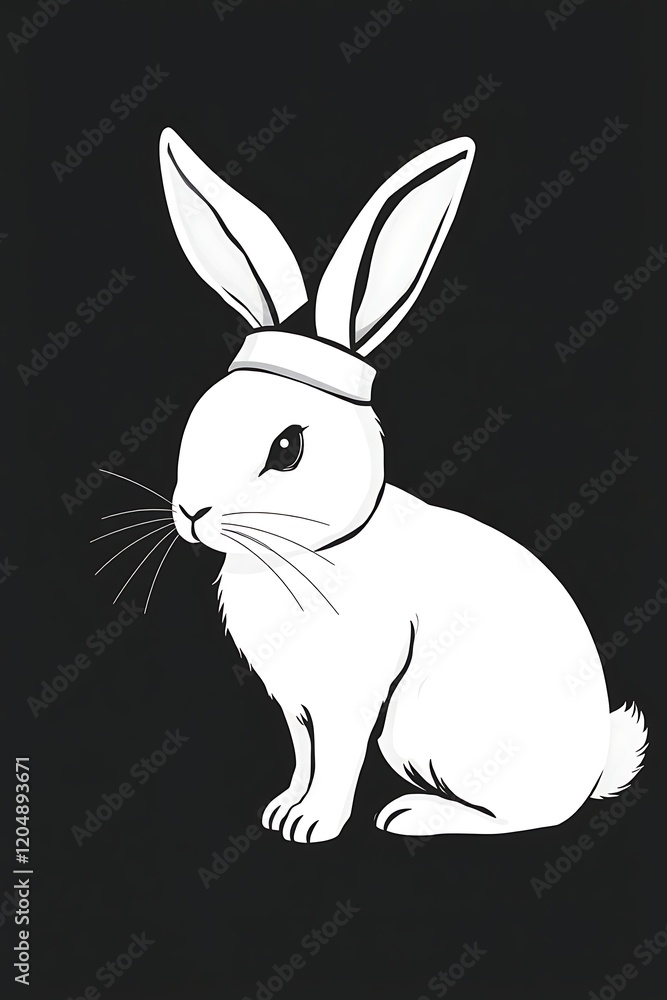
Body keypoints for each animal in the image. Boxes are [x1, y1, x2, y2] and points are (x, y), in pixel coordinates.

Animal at [157, 126, 648, 843]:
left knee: (515, 819)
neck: (307, 553)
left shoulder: (349, 697)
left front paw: (313, 826)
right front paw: (282, 811)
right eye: (200, 418)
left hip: (438, 736)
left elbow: (335, 760)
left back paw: (413, 815)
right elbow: (304, 756)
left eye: (287, 447)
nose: (193, 513)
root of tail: (588, 779)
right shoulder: (298, 703)